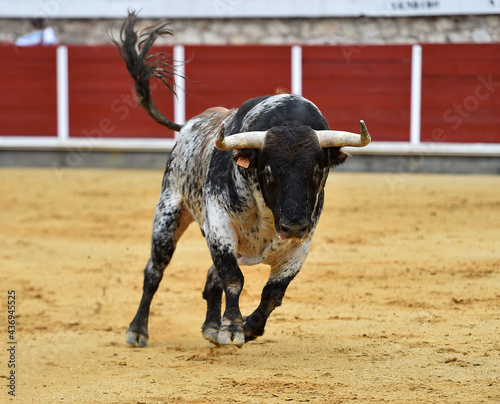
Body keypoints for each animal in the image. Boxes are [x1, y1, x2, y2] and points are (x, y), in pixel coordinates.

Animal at [114, 12, 372, 348]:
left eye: (317, 171)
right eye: (268, 171)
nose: (293, 226)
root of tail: (188, 126)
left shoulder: (301, 245)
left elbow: (272, 293)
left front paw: (249, 327)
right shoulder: (220, 225)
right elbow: (234, 279)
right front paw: (233, 328)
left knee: (211, 277)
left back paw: (211, 326)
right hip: (168, 214)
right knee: (155, 271)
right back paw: (138, 331)